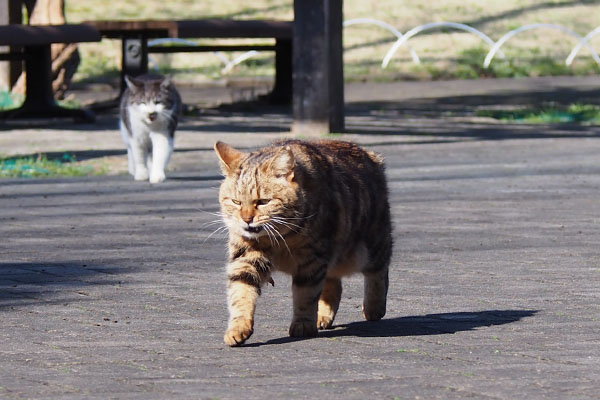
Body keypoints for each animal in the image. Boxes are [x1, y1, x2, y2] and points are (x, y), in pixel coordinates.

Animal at [213, 139, 392, 346]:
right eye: (236, 202)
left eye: (263, 201)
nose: (246, 219)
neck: (279, 238)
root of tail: (369, 154)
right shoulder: (246, 256)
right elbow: (241, 293)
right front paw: (238, 328)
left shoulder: (311, 260)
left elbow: (305, 296)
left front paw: (303, 324)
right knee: (334, 283)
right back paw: (324, 316)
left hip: (369, 245)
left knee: (379, 271)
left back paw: (374, 307)